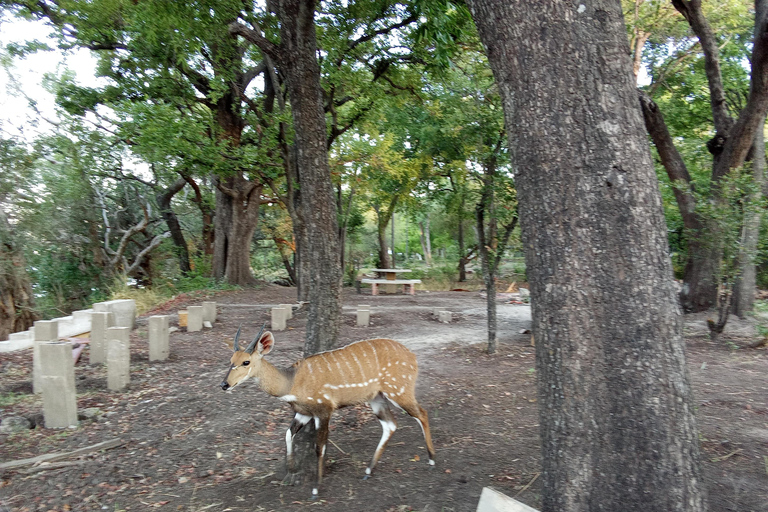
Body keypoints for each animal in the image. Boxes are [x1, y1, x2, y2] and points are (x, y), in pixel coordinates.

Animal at [219, 326, 436, 498]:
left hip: (398, 390)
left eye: (246, 362)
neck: (291, 383)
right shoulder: (304, 412)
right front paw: (291, 469)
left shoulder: (324, 410)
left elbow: (319, 447)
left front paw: (316, 489)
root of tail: (413, 357)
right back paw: (367, 471)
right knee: (391, 424)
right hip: (377, 397)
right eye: (231, 360)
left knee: (422, 413)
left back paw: (432, 459)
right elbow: (288, 434)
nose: (224, 385)